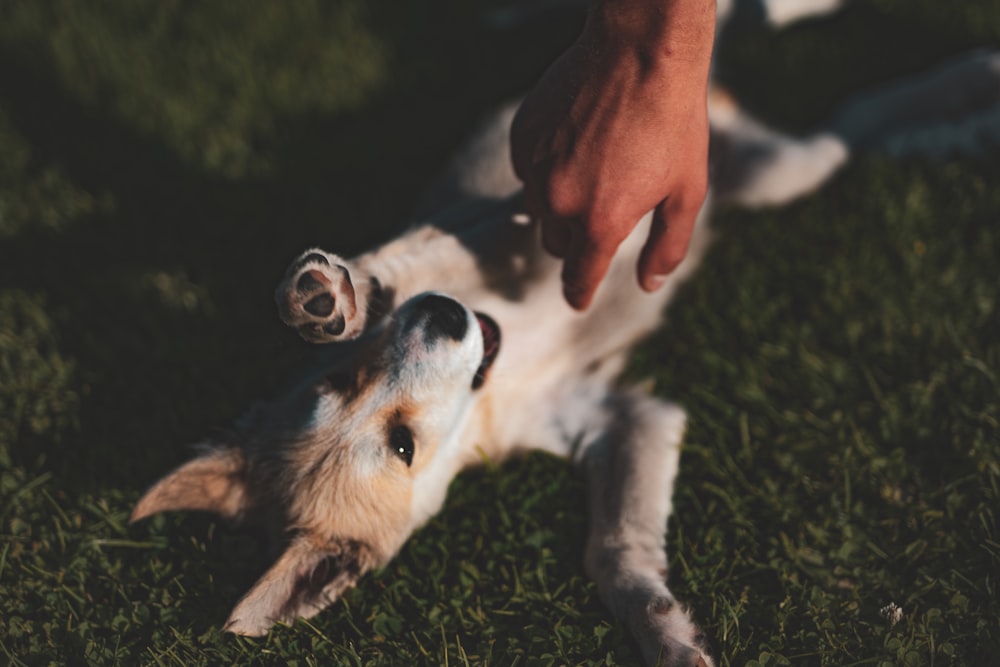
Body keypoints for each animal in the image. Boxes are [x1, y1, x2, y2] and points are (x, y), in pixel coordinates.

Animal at [133, 2, 1000, 664]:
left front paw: (332, 295)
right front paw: (668, 636)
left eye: (349, 375)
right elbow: (615, 550)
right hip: (772, 172)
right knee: (854, 127)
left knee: (760, 26)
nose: (446, 316)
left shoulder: (522, 218)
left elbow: (402, 261)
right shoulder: (616, 414)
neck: (500, 376)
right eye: (403, 445)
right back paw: (964, 108)